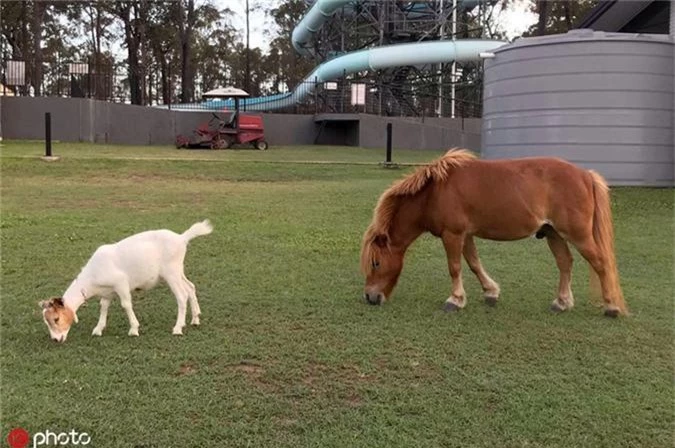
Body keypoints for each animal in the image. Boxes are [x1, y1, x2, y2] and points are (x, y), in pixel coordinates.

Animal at [40, 220, 214, 344]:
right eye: (46, 321)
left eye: (56, 319)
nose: (56, 339)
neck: (92, 277)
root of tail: (182, 238)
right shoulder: (107, 291)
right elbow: (104, 306)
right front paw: (98, 329)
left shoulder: (121, 283)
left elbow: (126, 304)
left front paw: (134, 329)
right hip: (178, 270)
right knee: (190, 287)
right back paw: (195, 319)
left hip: (171, 272)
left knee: (181, 296)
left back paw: (178, 328)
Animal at [360, 149, 628, 316]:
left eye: (376, 263)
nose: (370, 297)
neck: (434, 192)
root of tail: (585, 175)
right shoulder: (466, 235)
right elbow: (474, 264)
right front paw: (491, 292)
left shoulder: (453, 234)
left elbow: (455, 267)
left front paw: (455, 300)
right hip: (553, 233)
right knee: (565, 263)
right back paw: (561, 303)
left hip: (578, 234)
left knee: (600, 262)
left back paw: (611, 307)